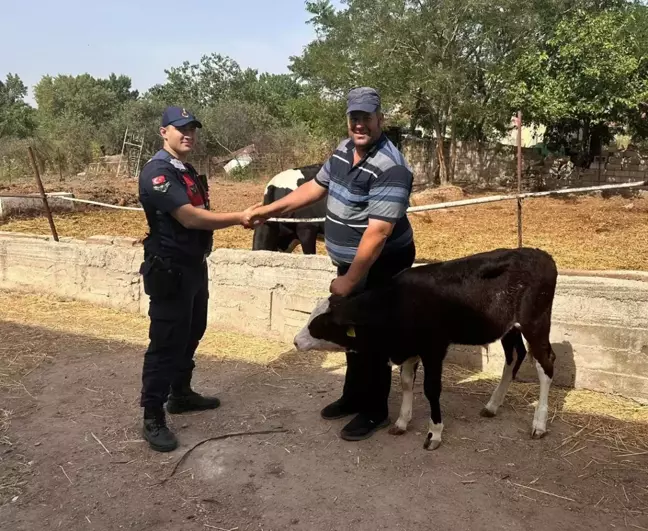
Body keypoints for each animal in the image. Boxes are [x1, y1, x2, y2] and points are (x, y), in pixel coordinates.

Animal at [294, 249, 556, 454]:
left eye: (321, 325)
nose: (296, 341)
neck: (398, 303)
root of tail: (541, 255)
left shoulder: (434, 348)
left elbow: (431, 389)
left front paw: (434, 433)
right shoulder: (409, 348)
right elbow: (406, 383)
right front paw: (402, 421)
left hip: (535, 322)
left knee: (545, 364)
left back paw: (539, 424)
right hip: (508, 328)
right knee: (514, 356)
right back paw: (492, 405)